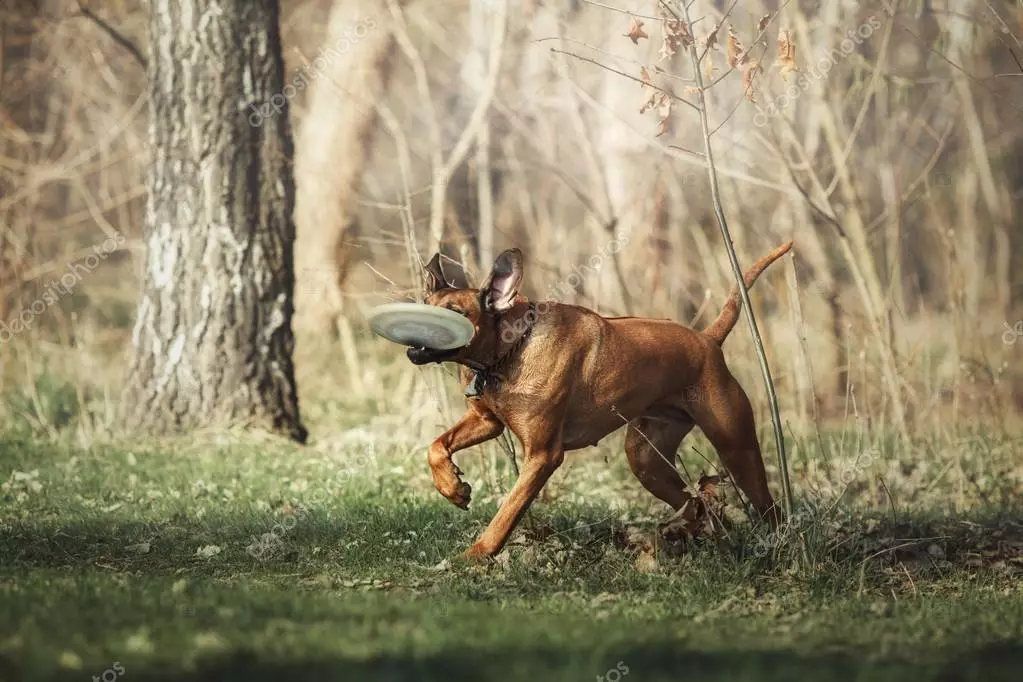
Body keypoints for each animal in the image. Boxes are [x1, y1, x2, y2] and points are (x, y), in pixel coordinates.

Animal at [407, 242, 789, 556]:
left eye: (456, 313)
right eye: (424, 306)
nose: (414, 335)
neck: (509, 350)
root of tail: (708, 340)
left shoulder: (543, 455)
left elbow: (507, 511)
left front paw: (476, 556)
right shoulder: (486, 422)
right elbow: (436, 446)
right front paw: (451, 486)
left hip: (736, 447)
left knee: (769, 507)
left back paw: (776, 544)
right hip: (646, 461)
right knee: (698, 505)